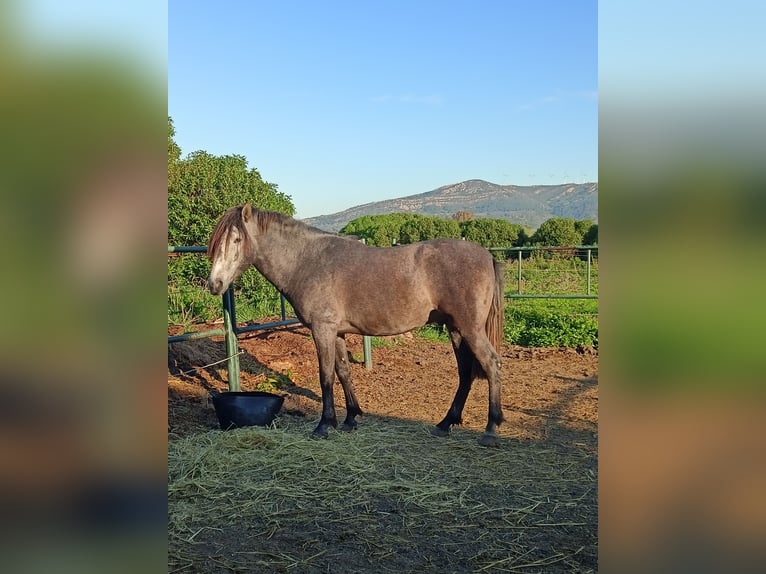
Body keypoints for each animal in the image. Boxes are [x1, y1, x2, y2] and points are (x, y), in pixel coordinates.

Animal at [207, 204, 506, 447]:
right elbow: (343, 372)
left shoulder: (322, 329)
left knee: (491, 364)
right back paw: (445, 424)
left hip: (470, 329)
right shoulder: (337, 332)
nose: (214, 284)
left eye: (236, 239)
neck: (307, 261)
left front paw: (323, 426)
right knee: (465, 373)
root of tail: (487, 256)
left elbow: (326, 376)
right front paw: (350, 419)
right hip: (456, 330)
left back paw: (490, 429)